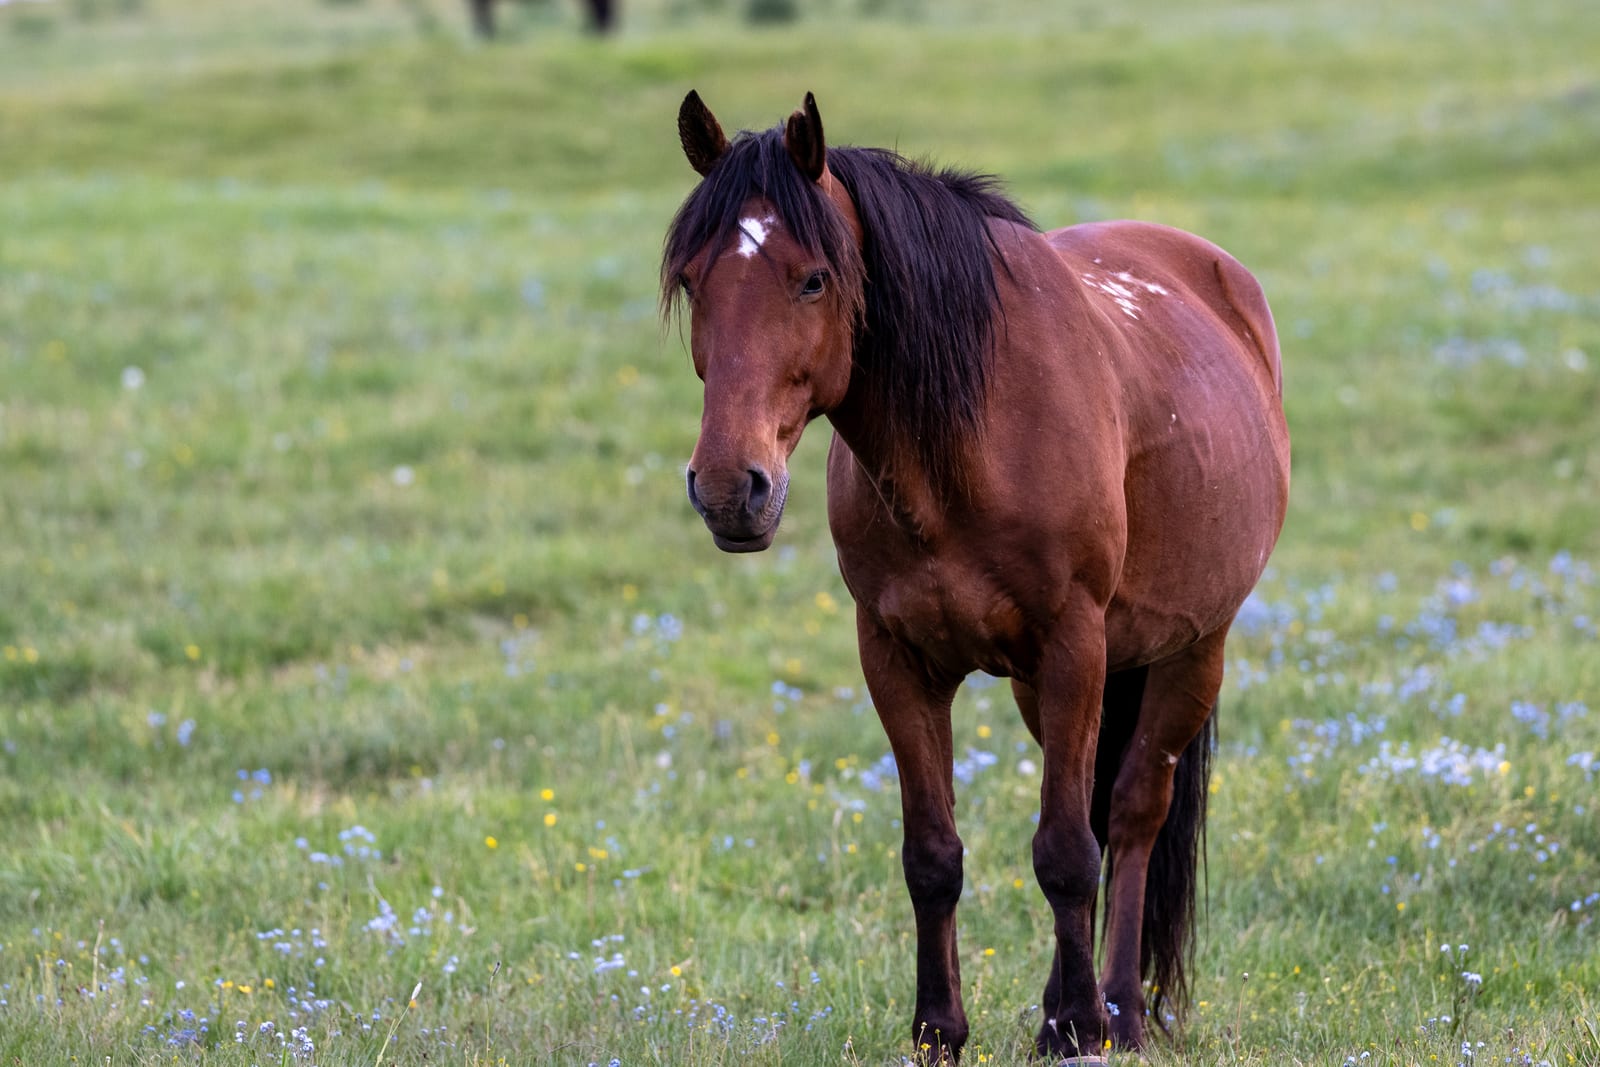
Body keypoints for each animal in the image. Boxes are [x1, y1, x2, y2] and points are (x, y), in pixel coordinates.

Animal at [661, 91, 1290, 1063]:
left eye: (813, 280)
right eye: (694, 281)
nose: (732, 488)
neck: (970, 442)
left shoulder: (1075, 643)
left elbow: (1066, 851)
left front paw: (1081, 1029)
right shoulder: (897, 657)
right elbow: (933, 854)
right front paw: (940, 1030)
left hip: (1191, 649)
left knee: (1133, 814)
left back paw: (1117, 1009)